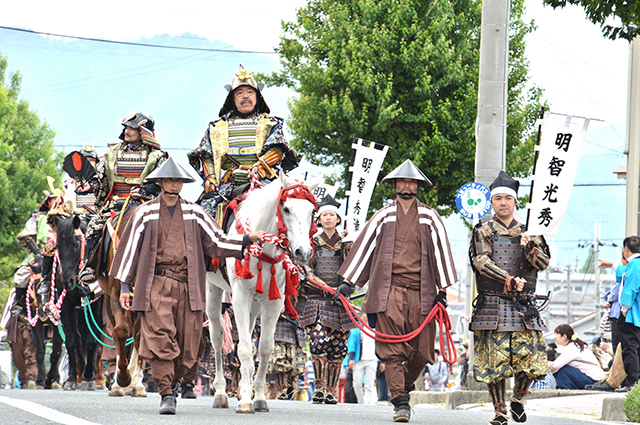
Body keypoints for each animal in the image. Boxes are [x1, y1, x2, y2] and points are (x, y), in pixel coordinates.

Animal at [205, 171, 320, 412]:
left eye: (312, 211)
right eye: (286, 208)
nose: (303, 252)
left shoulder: (274, 301)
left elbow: (265, 348)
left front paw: (257, 397)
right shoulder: (240, 296)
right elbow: (244, 349)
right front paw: (245, 401)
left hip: (255, 304)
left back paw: (243, 388)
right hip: (213, 289)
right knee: (217, 336)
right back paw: (221, 393)